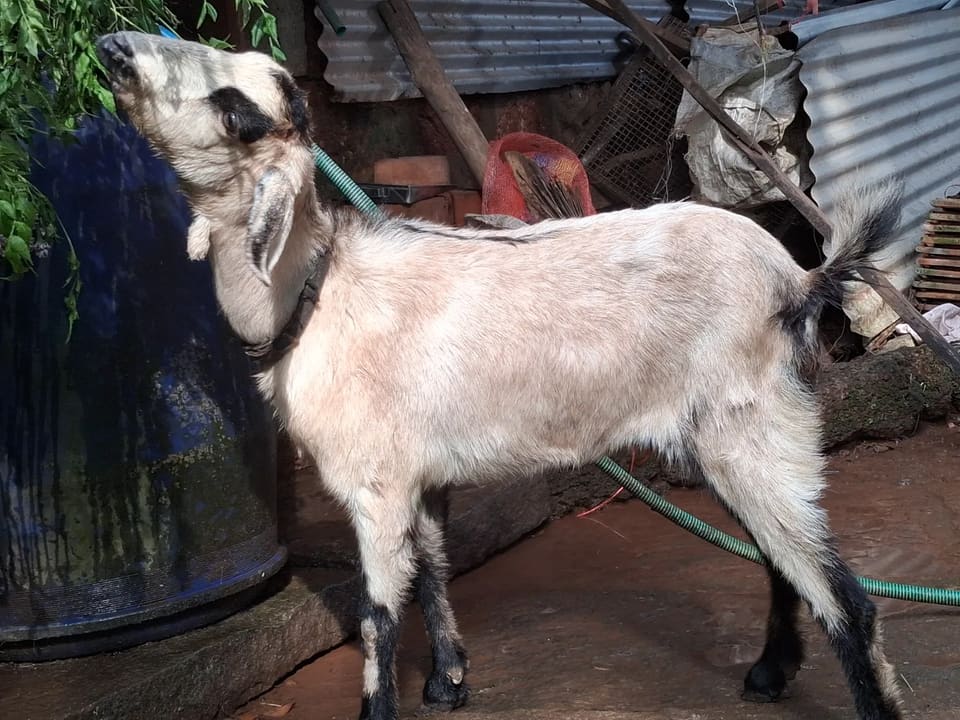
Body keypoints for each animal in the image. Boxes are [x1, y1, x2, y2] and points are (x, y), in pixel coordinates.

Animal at [96, 31, 904, 720]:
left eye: (236, 111)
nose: (114, 46)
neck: (317, 292)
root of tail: (800, 280)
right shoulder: (416, 474)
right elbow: (431, 569)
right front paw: (448, 681)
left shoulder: (373, 481)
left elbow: (377, 616)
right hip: (726, 433)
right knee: (781, 557)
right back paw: (769, 671)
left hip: (752, 424)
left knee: (844, 597)